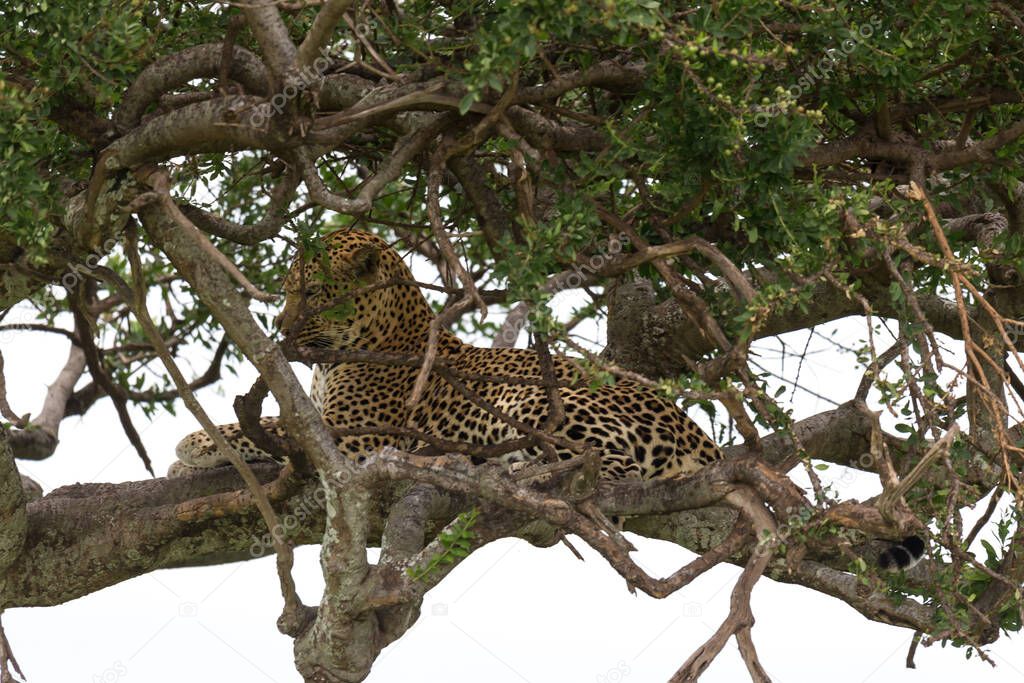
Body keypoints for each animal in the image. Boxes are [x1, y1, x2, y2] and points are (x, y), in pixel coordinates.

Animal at [172, 229, 724, 485]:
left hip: (541, 403)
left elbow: (269, 424)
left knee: (608, 467)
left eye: (313, 294)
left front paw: (192, 444)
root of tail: (699, 438)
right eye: (287, 292)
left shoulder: (357, 434)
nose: (282, 328)